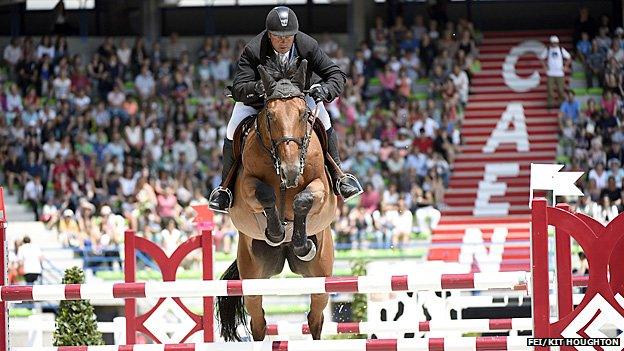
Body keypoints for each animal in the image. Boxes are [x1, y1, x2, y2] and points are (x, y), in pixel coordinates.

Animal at [217, 59, 338, 342]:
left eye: (303, 114)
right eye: (270, 116)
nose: (291, 171)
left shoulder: (321, 190)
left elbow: (303, 199)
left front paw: (301, 244)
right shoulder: (246, 189)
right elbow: (265, 194)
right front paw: (276, 232)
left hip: (321, 276)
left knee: (315, 317)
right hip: (253, 276)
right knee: (258, 321)